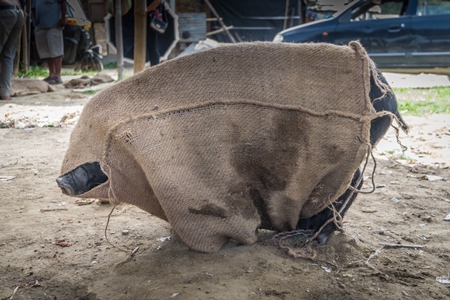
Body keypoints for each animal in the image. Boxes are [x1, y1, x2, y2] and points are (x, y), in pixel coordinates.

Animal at [59, 41, 390, 252]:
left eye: (93, 164)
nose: (63, 180)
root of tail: (383, 86)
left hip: (352, 149)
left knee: (351, 183)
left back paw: (310, 239)